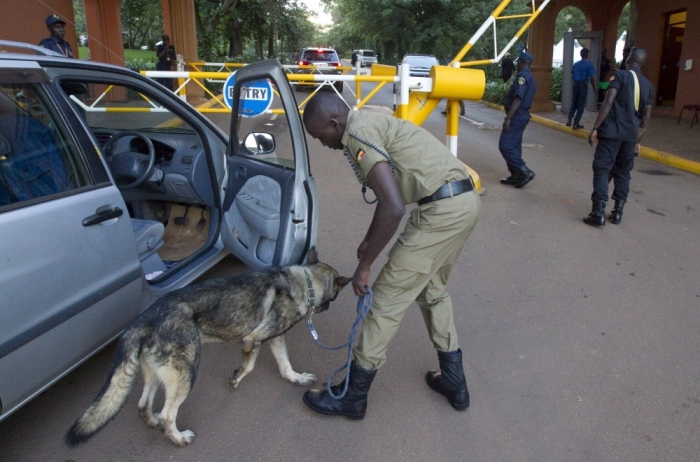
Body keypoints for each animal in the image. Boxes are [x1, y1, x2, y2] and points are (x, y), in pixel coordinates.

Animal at [65, 249, 350, 448]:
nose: (327, 307)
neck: (305, 282)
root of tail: (144, 318)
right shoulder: (252, 339)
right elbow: (249, 366)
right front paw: (235, 379)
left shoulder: (274, 339)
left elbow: (285, 364)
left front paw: (296, 378)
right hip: (186, 372)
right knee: (168, 415)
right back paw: (179, 438)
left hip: (159, 373)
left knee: (144, 405)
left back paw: (153, 421)